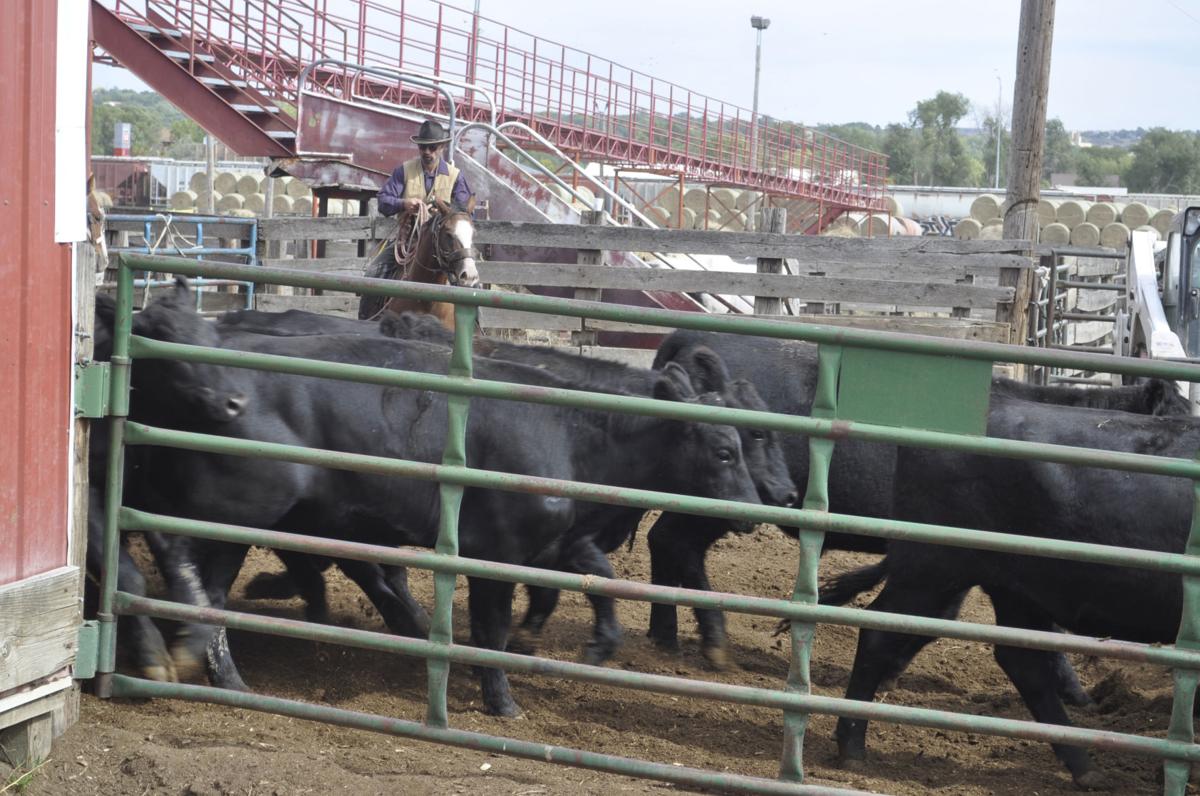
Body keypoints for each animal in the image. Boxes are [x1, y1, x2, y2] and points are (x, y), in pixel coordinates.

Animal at [131, 304, 763, 716]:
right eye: (725, 449)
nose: (754, 511)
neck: (571, 432)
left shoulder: (553, 543)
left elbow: (593, 579)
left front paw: (597, 644)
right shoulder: (496, 555)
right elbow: (492, 630)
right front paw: (502, 701)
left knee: (214, 593)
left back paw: (230, 676)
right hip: (231, 512)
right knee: (177, 556)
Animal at [829, 394, 1200, 790]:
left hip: (1013, 591)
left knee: (1022, 664)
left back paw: (1084, 766)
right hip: (930, 571)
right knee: (878, 635)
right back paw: (851, 746)